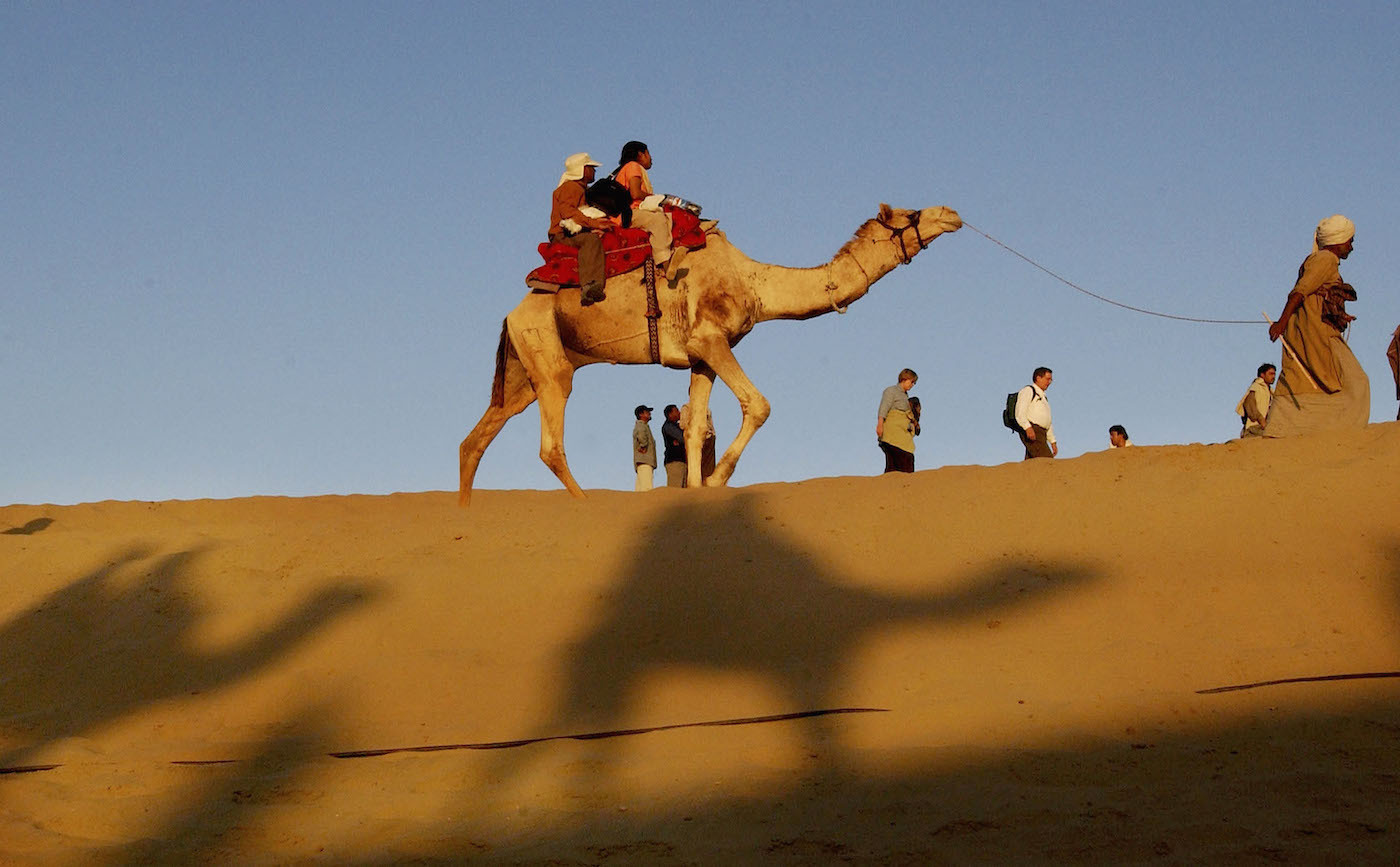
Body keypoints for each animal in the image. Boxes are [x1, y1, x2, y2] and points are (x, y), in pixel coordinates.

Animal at [458, 203, 961, 505]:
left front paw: (699, 492)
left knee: (478, 437)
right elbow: (758, 405)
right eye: (911, 214)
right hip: (548, 357)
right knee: (550, 443)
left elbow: (697, 427)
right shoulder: (710, 340)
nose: (952, 214)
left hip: (524, 371)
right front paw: (719, 481)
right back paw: (584, 504)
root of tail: (512, 313)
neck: (754, 283)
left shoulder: (701, 357)